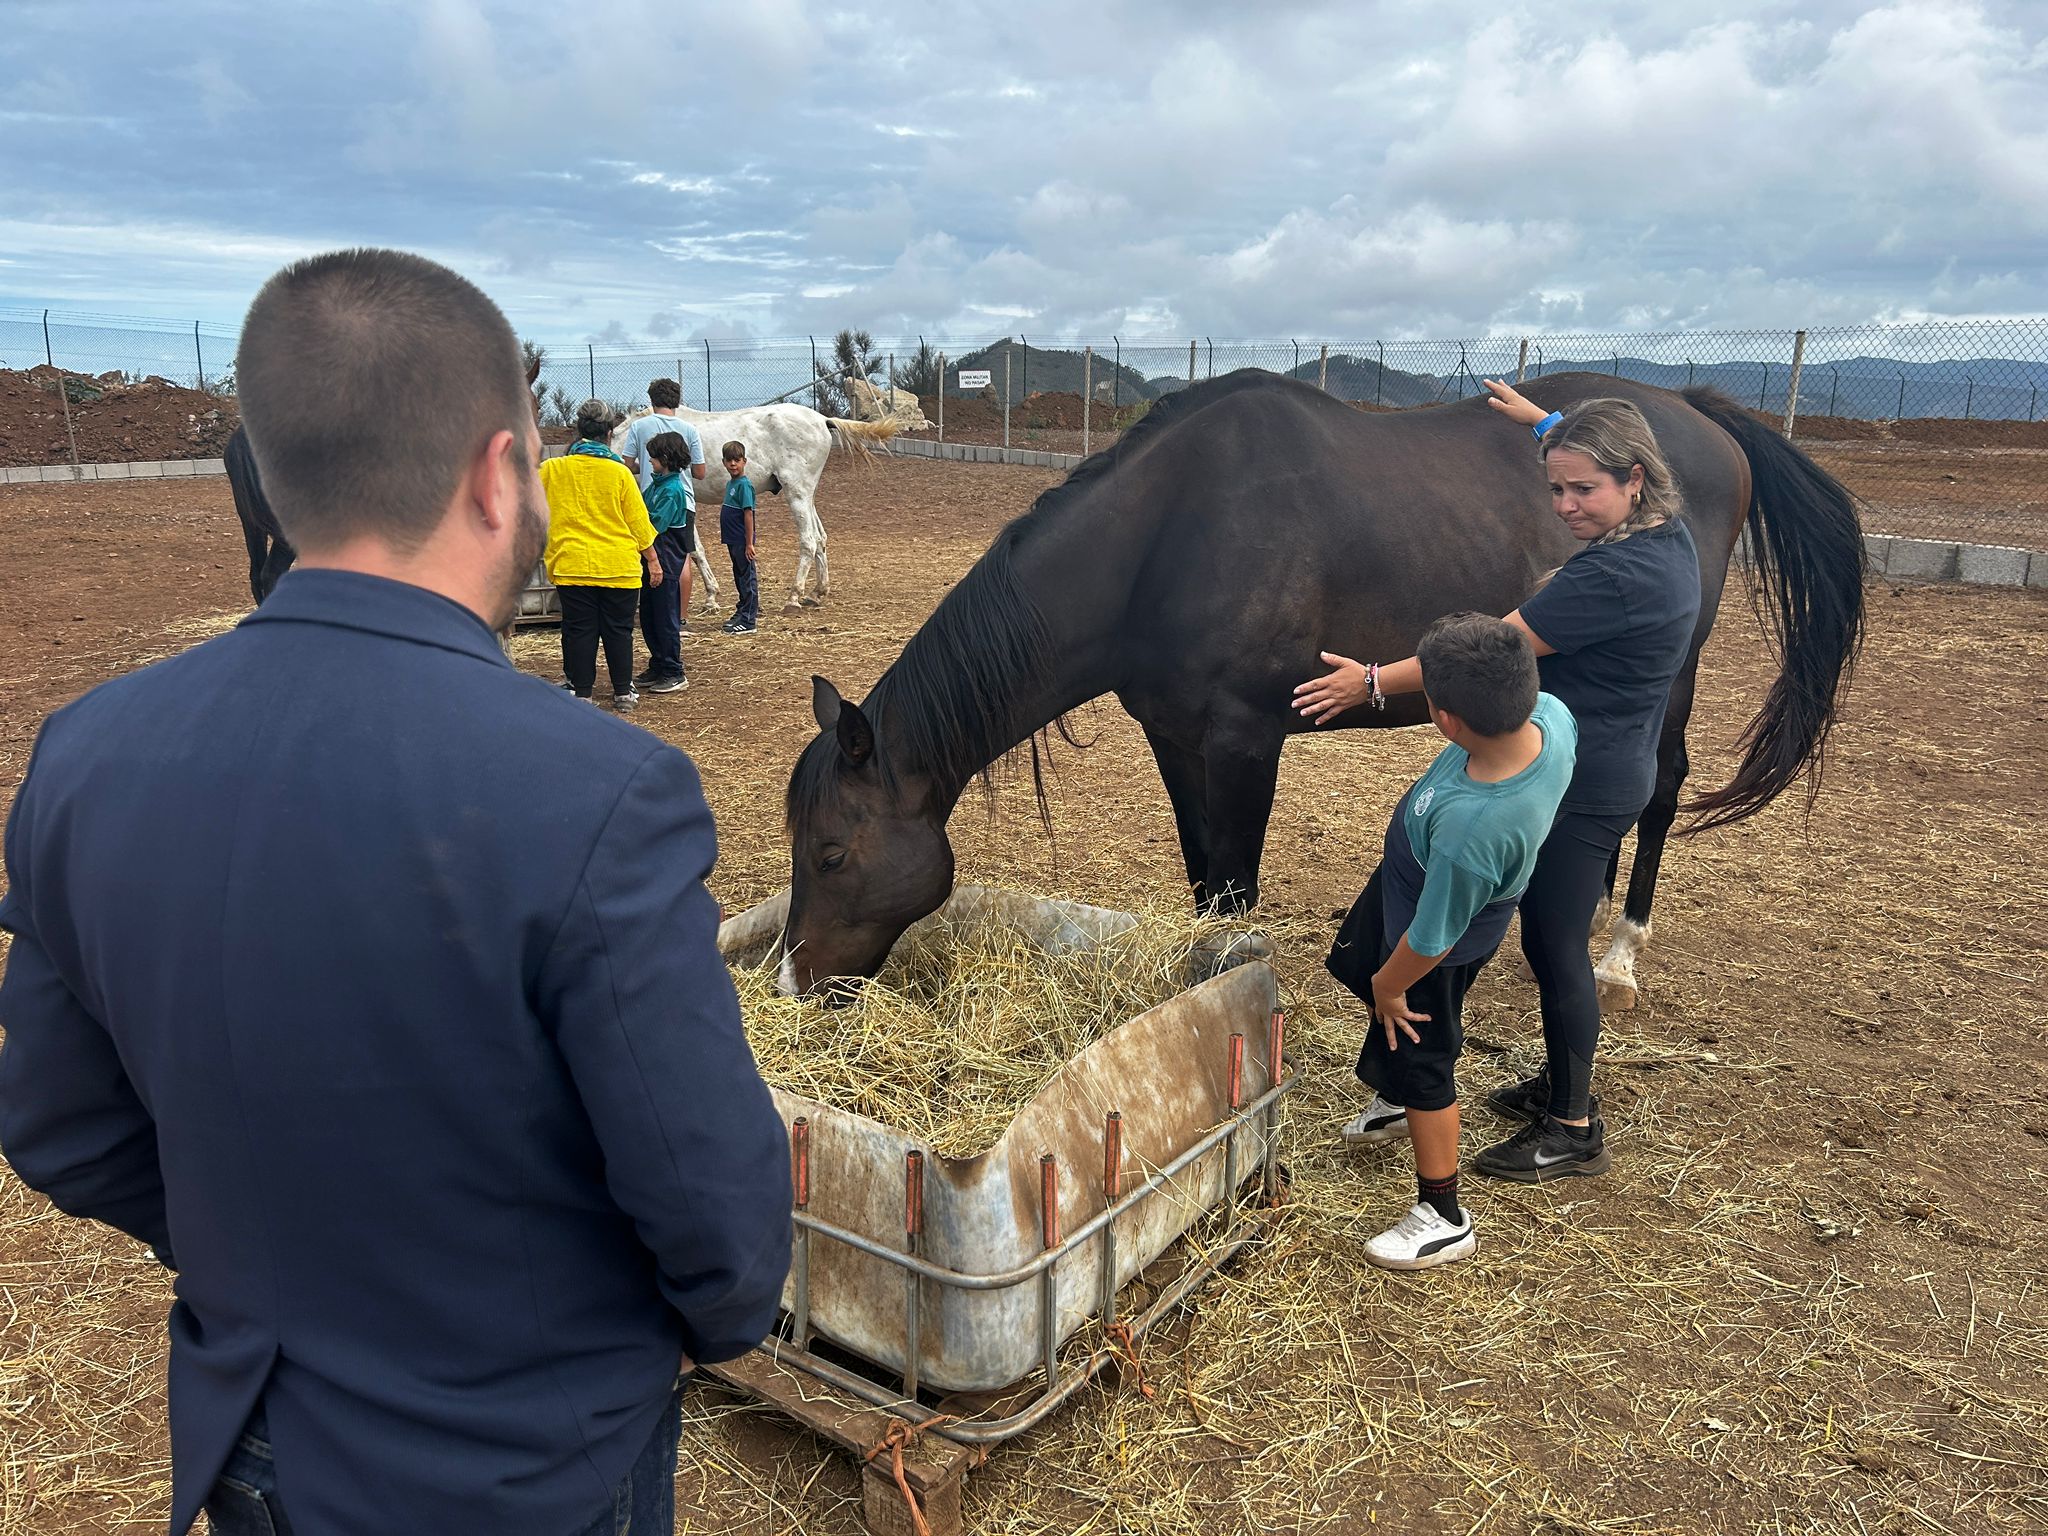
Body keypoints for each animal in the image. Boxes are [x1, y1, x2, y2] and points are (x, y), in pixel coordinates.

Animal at [610, 403, 892, 606]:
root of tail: (822, 420)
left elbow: (690, 550)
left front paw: (710, 597)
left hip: (797, 493)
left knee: (809, 541)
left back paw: (794, 596)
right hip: (807, 495)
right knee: (821, 538)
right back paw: (817, 592)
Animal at [774, 370, 1867, 999]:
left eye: (830, 853)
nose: (791, 981)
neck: (1166, 539)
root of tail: (1701, 418)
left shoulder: (1245, 740)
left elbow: (1234, 886)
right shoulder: (1178, 740)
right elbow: (1204, 882)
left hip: (1670, 667)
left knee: (1661, 785)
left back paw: (1619, 951)